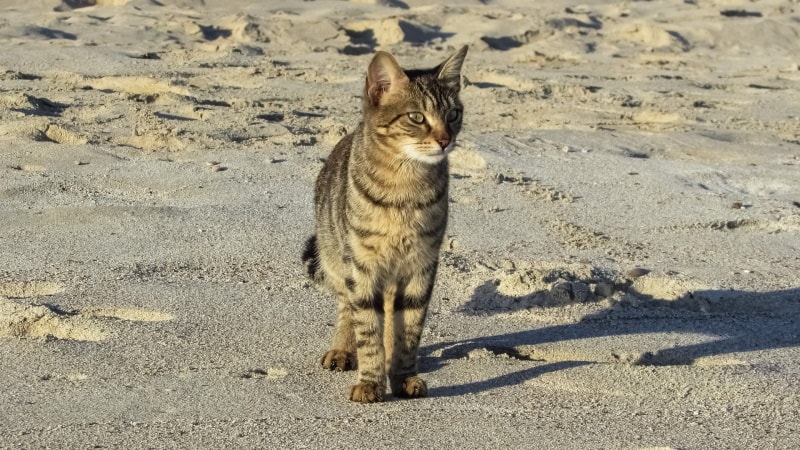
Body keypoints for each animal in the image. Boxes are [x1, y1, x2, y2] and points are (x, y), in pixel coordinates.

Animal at [304, 46, 468, 404]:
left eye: (453, 114)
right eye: (416, 117)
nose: (445, 140)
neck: (405, 188)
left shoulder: (422, 264)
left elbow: (409, 328)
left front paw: (403, 376)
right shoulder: (362, 266)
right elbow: (367, 326)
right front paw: (370, 381)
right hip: (337, 259)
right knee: (347, 307)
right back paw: (342, 349)